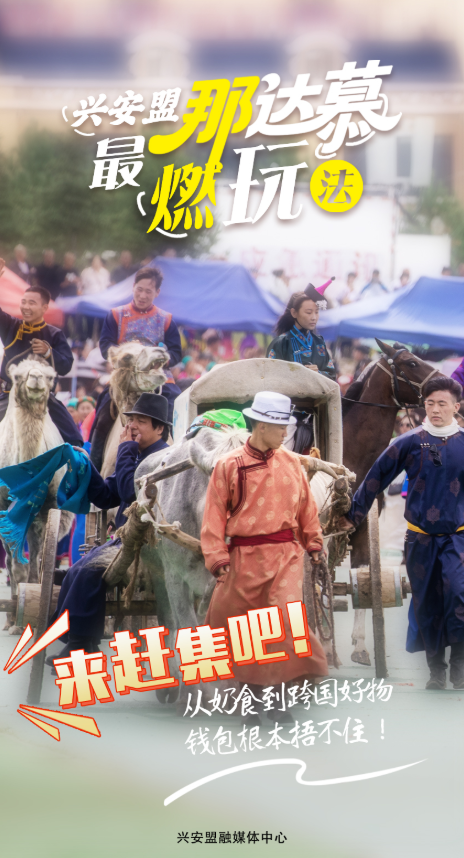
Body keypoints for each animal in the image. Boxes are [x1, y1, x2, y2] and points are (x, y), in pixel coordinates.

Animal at [0, 357, 74, 633]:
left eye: (50, 376)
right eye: (17, 376)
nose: (36, 379)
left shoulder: (45, 512)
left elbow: (37, 561)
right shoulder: (6, 513)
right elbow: (17, 566)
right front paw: (14, 621)